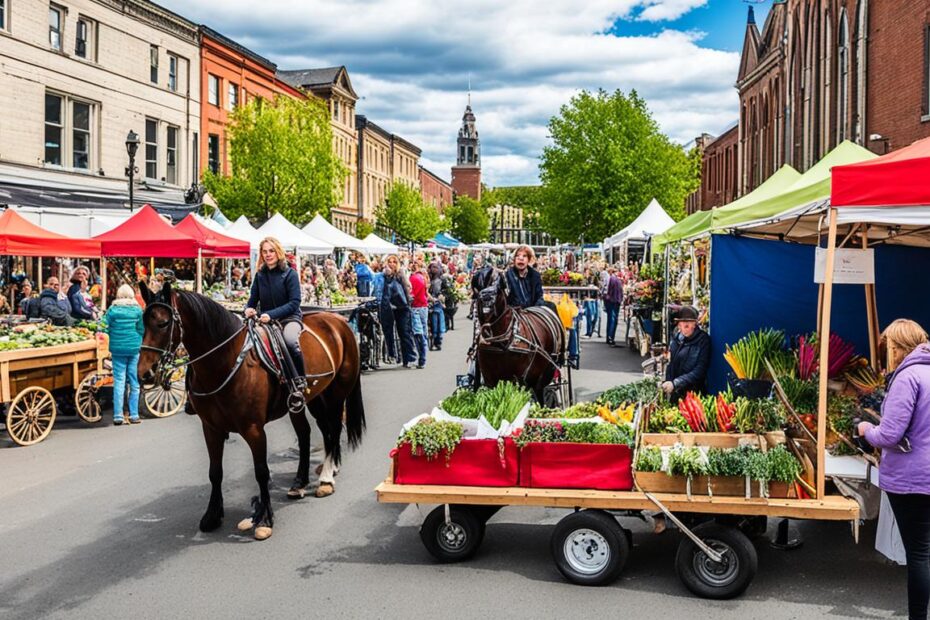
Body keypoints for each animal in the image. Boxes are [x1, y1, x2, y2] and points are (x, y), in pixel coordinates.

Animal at [138, 284, 362, 540]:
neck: (226, 363)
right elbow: (215, 472)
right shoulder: (211, 429)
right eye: (142, 321)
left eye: (163, 323)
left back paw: (326, 477)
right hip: (308, 399)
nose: (144, 373)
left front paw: (264, 519)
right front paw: (213, 515)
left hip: (335, 394)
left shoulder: (254, 430)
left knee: (333, 429)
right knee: (310, 433)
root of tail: (337, 320)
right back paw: (301, 482)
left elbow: (261, 472)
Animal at [474, 266, 560, 402]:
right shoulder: (490, 379)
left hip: (544, 373)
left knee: (540, 393)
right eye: (480, 287)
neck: (502, 342)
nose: (487, 298)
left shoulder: (518, 379)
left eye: (498, 288)